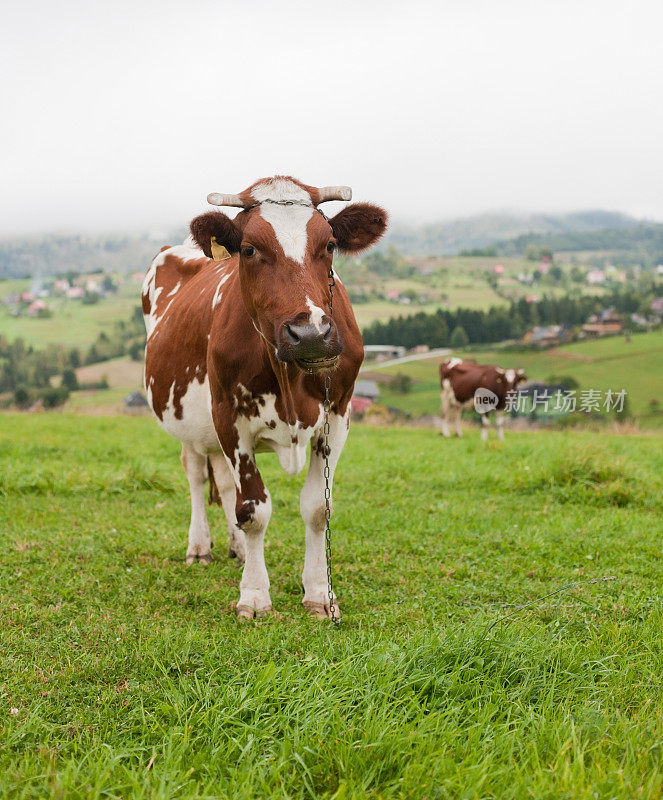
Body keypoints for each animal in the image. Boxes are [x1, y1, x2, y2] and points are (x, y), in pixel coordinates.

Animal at [143, 178, 386, 620]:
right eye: (249, 249)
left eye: (329, 245)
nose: (310, 334)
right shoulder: (229, 415)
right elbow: (252, 510)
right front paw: (254, 596)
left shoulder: (339, 414)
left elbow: (318, 509)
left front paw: (319, 593)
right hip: (189, 418)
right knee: (196, 473)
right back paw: (200, 547)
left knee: (222, 481)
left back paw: (237, 549)